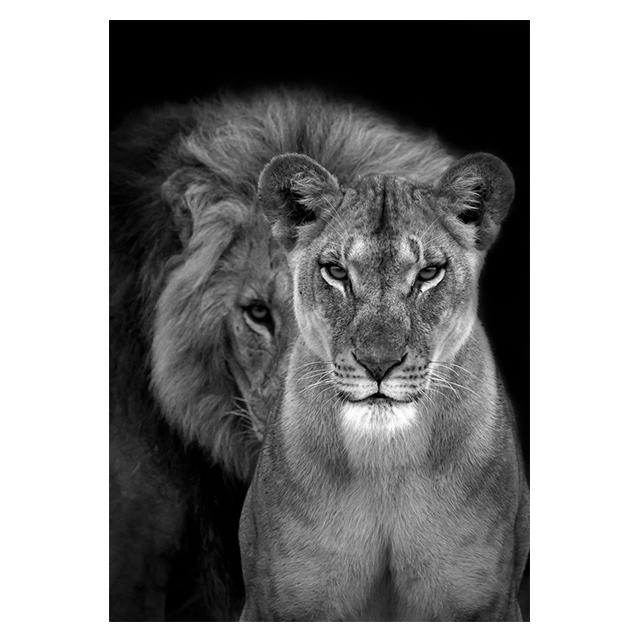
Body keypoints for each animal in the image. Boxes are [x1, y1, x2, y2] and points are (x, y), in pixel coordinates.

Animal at [239, 152, 529, 621]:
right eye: (336, 272)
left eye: (428, 273)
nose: (378, 364)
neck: (384, 462)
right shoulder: (278, 605)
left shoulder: (488, 604)